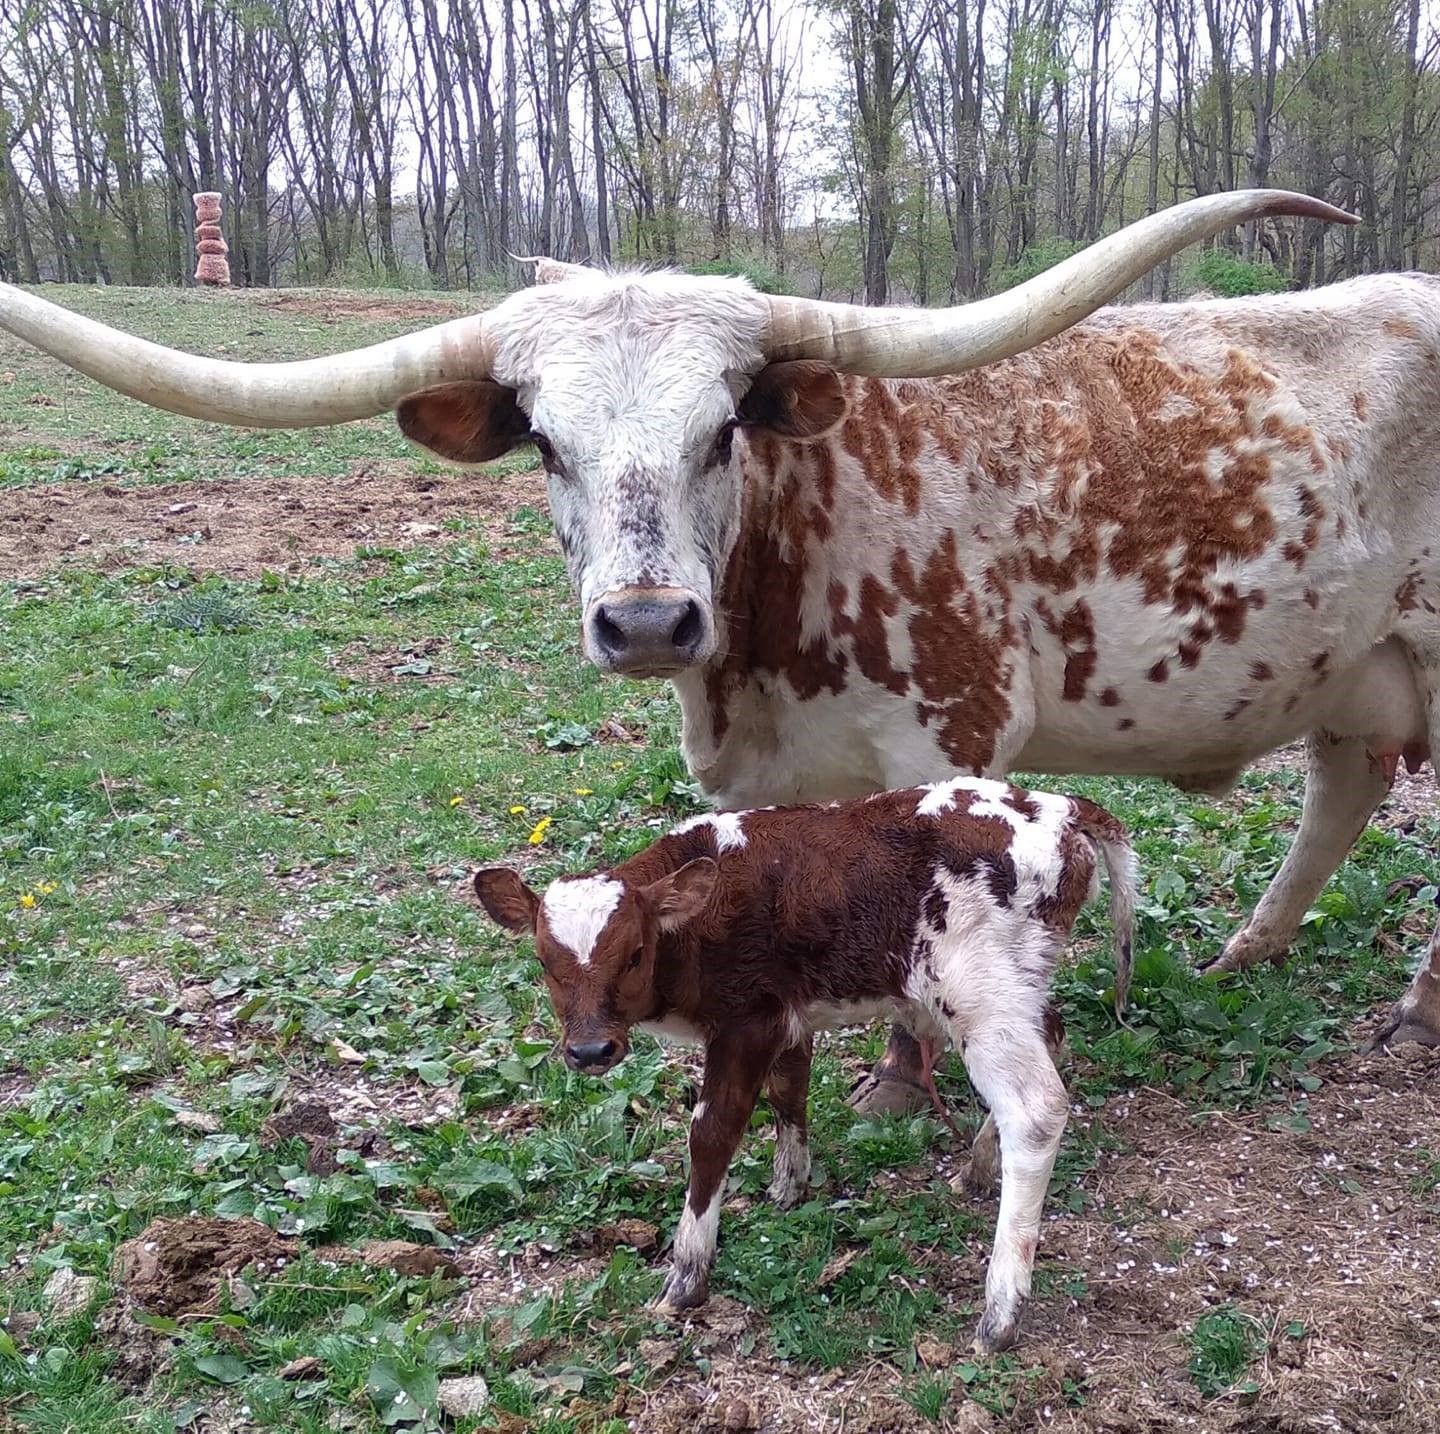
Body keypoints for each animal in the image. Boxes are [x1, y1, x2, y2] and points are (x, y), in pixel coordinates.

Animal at [4, 188, 1439, 1110]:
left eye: (721, 430)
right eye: (544, 441)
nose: (647, 621)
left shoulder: (955, 733)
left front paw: (901, 1083)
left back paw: (1409, 1005)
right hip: (1352, 665)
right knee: (1345, 784)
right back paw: (1245, 955)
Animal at [472, 776, 1137, 1352]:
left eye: (634, 954)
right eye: (546, 963)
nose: (590, 1051)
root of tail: (1060, 806)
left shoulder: (745, 1021)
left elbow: (712, 1135)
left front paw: (686, 1277)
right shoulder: (785, 1015)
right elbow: (789, 1091)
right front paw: (788, 1185)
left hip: (983, 995)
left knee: (1036, 1108)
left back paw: (999, 1312)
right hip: (1020, 989)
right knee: (1053, 1034)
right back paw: (978, 1165)